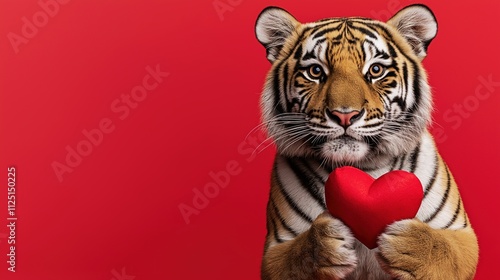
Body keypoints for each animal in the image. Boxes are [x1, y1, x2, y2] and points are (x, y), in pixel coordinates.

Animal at [256, 4, 478, 280]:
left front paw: (409, 244)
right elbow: (298, 256)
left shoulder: (462, 235)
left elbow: (445, 250)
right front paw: (325, 244)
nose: (344, 115)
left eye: (375, 70)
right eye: (315, 71)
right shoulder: (275, 248)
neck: (365, 167)